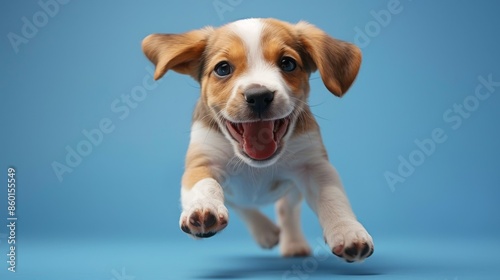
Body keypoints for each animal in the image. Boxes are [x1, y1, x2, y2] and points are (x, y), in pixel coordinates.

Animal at [143, 18, 374, 262]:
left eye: (288, 64)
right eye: (222, 68)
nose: (259, 96)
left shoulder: (314, 167)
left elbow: (333, 198)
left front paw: (347, 230)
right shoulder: (203, 163)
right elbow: (205, 186)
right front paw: (203, 208)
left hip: (292, 191)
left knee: (286, 211)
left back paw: (293, 243)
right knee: (242, 205)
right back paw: (264, 230)